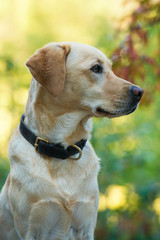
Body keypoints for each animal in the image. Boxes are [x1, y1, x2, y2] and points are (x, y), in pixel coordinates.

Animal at [0, 42, 143, 239]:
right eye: (96, 68)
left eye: (111, 69)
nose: (140, 92)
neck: (62, 150)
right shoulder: (30, 229)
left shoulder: (86, 227)